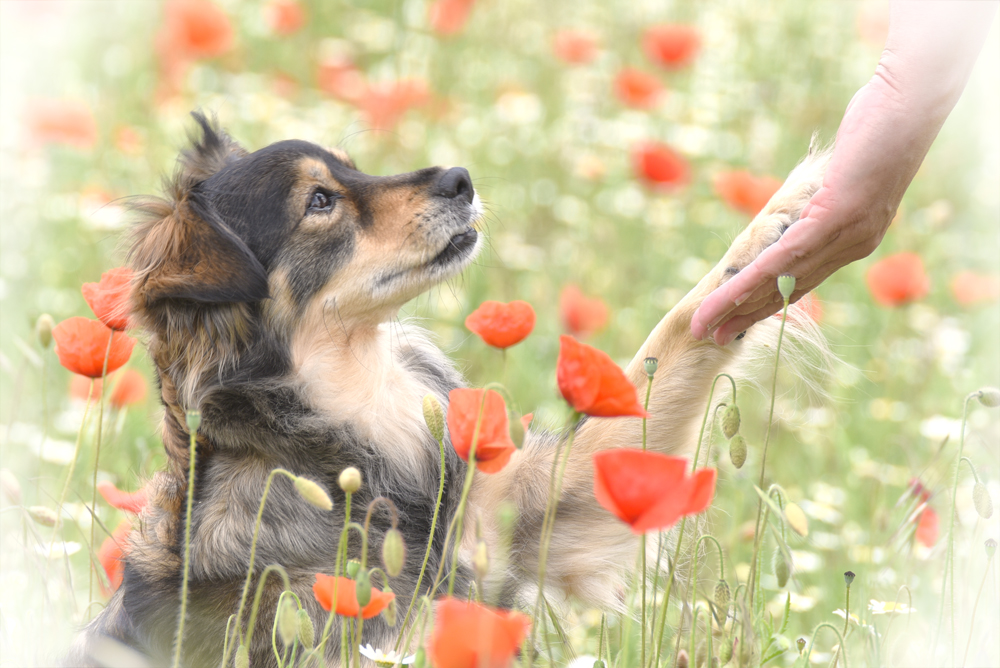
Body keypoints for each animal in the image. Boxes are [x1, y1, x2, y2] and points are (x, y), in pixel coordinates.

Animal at [66, 115, 824, 668]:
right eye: (320, 202)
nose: (460, 178)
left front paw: (777, 223)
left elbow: (677, 332)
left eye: (354, 167)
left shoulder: (536, 514)